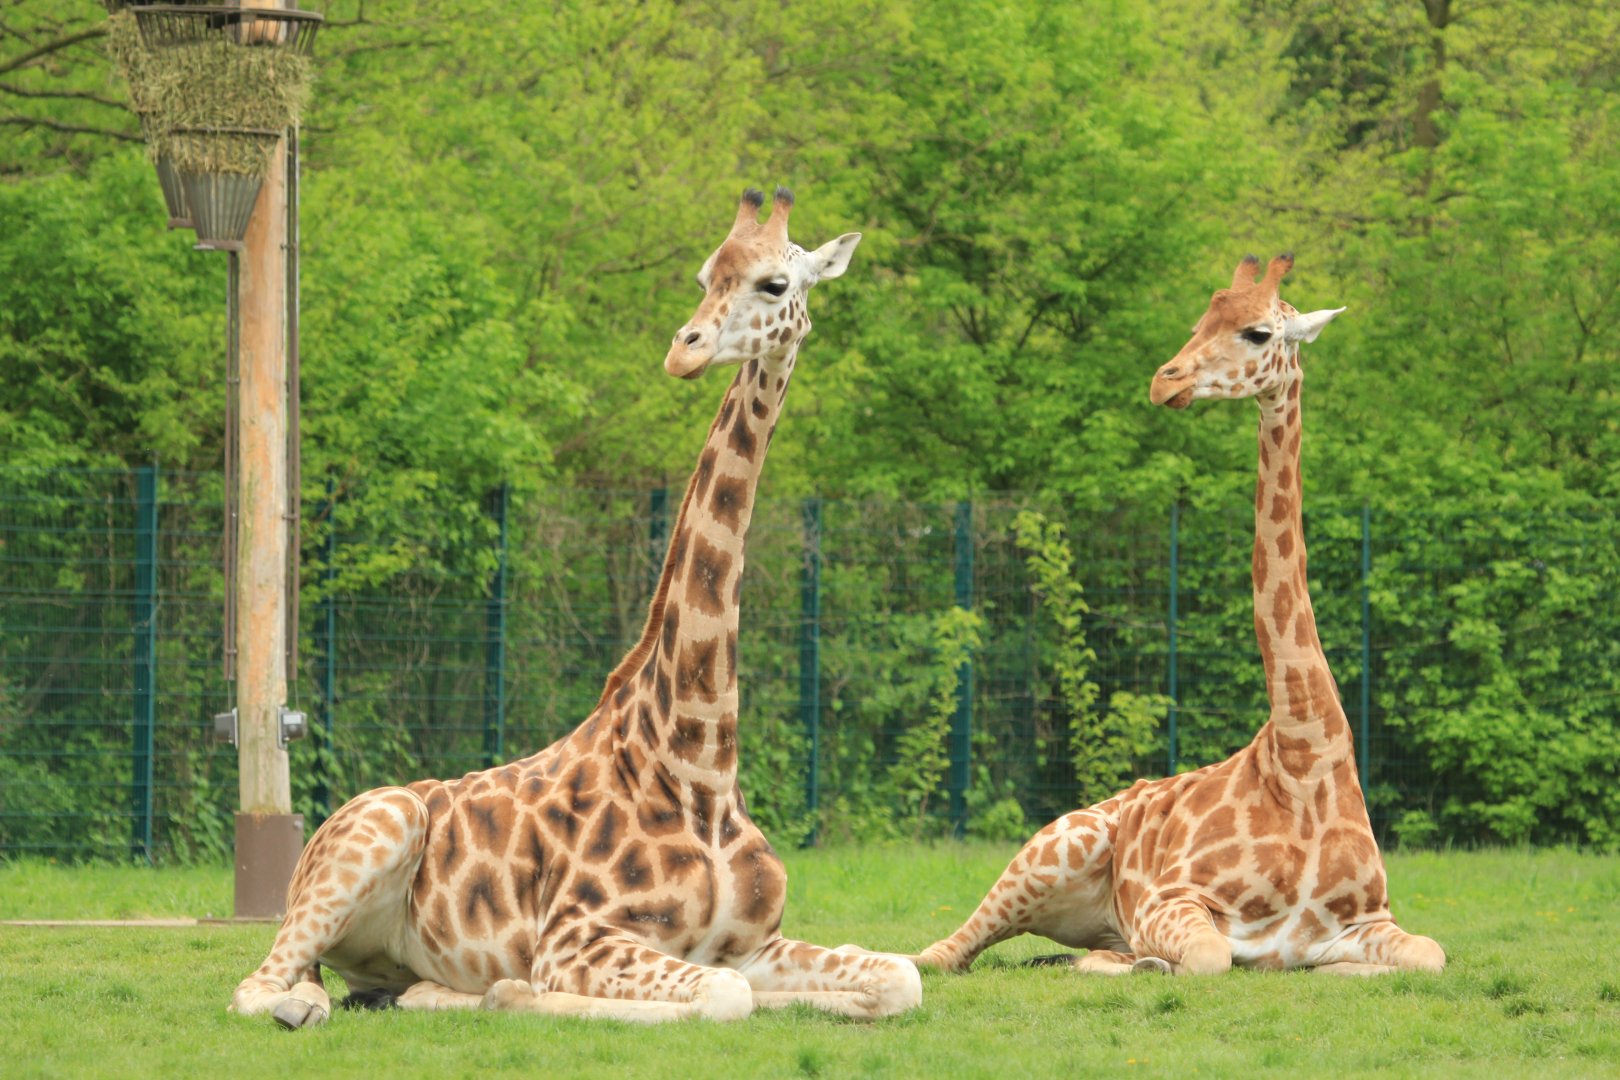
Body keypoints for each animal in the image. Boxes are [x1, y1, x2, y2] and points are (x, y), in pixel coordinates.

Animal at [231, 188, 922, 1027]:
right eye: (704, 275)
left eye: (775, 284)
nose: (685, 349)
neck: (701, 768)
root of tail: (314, 839)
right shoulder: (577, 937)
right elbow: (722, 998)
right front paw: (519, 991)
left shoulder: (754, 943)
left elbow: (898, 975)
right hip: (378, 830)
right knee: (258, 987)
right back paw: (321, 1004)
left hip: (375, 952)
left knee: (365, 986)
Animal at [913, 254, 1445, 978]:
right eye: (1199, 322)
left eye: (1257, 332)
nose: (1164, 380)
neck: (1305, 761)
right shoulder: (1174, 897)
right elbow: (1210, 955)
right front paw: (1148, 964)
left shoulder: (1369, 918)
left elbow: (1431, 953)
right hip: (1058, 845)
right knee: (944, 954)